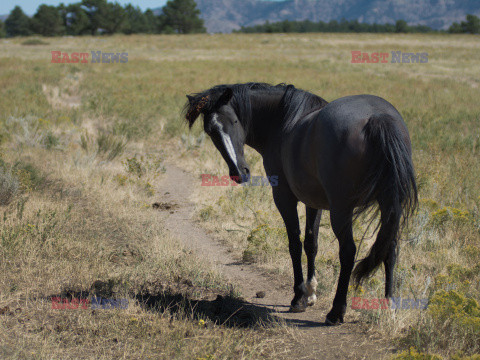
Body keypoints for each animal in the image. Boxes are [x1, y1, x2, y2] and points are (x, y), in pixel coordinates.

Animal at [184, 83, 416, 324]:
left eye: (234, 121)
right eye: (210, 131)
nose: (239, 173)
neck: (281, 123)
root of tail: (378, 117)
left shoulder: (284, 197)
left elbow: (294, 243)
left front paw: (298, 297)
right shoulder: (313, 201)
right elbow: (311, 243)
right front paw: (311, 293)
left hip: (342, 210)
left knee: (348, 251)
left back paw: (336, 311)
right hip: (389, 206)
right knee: (390, 248)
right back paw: (389, 308)